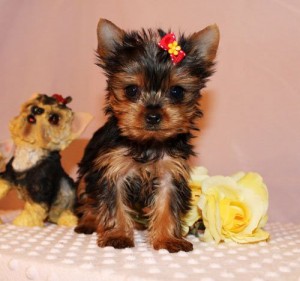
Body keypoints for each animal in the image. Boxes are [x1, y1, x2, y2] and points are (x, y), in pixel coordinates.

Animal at [0, 94, 91, 225]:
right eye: (37, 102)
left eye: (54, 118)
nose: (37, 110)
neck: (30, 152)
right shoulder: (8, 173)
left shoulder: (41, 187)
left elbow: (34, 207)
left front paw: (22, 222)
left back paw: (67, 219)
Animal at [74, 19, 220, 252]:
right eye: (131, 90)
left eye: (177, 92)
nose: (153, 115)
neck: (147, 144)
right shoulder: (111, 170)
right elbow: (113, 203)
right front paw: (117, 235)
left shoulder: (171, 172)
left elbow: (167, 205)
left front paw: (167, 239)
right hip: (87, 171)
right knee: (87, 195)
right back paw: (88, 221)